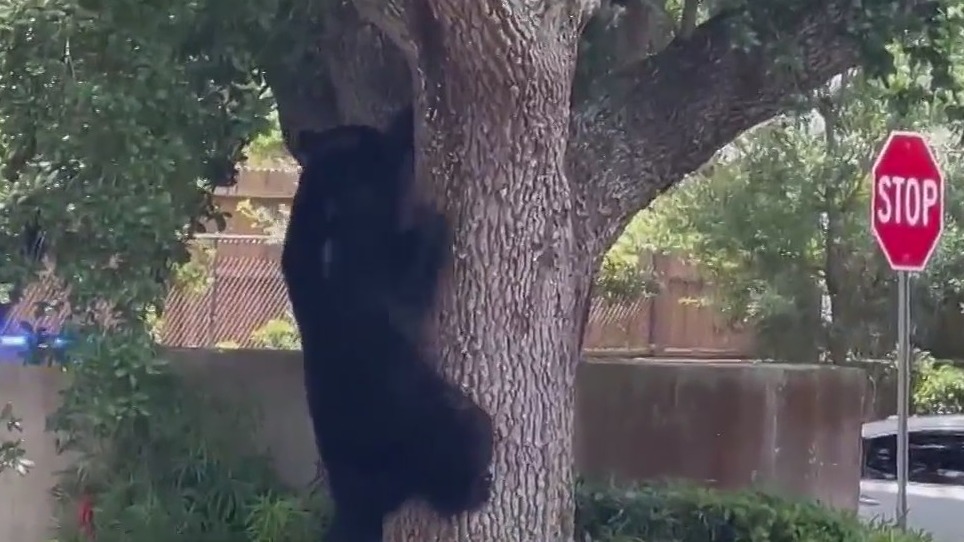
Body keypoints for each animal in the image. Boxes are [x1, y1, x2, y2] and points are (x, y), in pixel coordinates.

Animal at [280, 107, 495, 542]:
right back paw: (476, 486)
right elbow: (407, 278)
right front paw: (433, 222)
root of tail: (356, 499)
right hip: (429, 420)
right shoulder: (369, 262)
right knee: (468, 438)